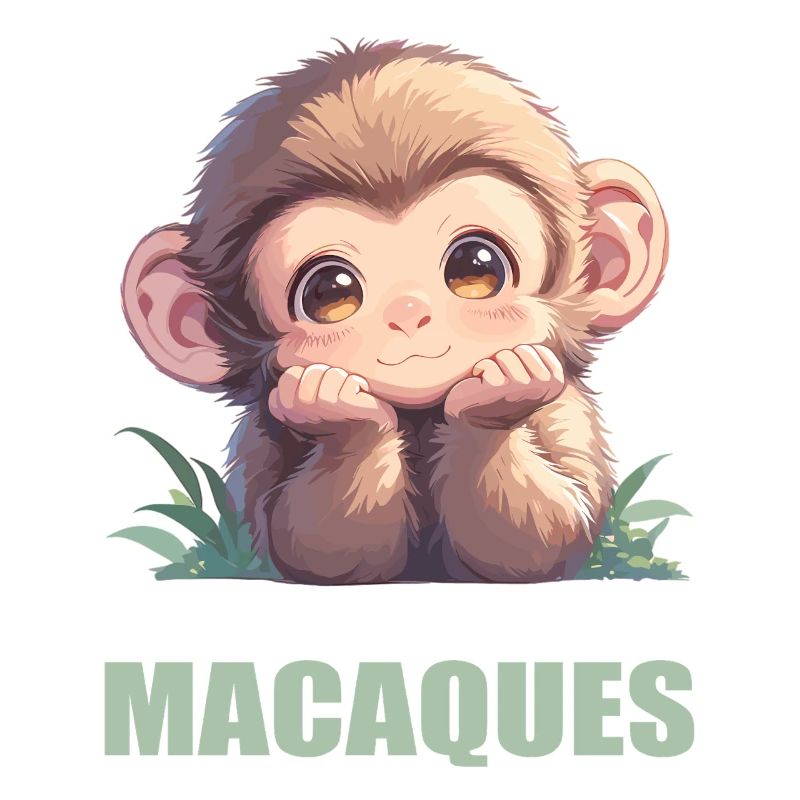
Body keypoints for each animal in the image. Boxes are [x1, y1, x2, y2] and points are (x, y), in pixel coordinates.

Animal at [121, 40, 668, 585]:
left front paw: (501, 390)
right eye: (328, 293)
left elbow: (548, 537)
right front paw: (341, 411)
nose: (408, 311)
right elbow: (312, 548)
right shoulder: (261, 444)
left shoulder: (568, 414)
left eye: (476, 266)